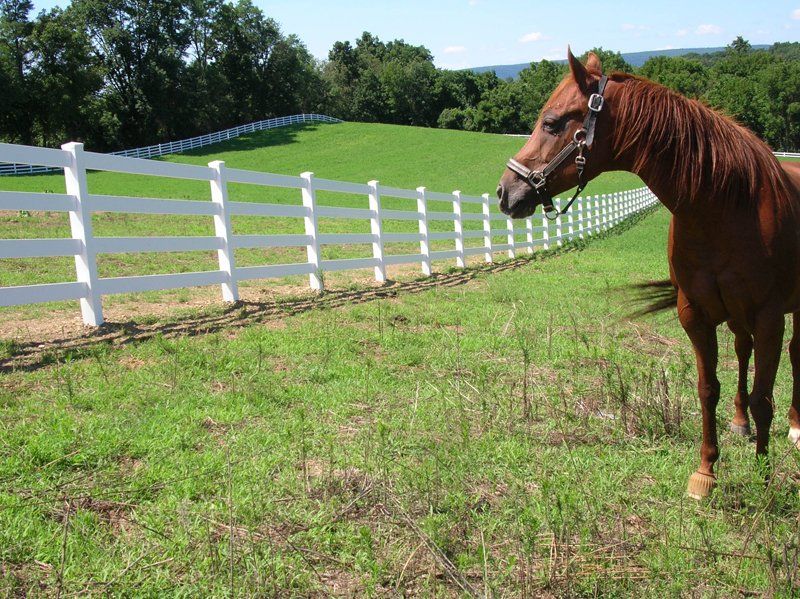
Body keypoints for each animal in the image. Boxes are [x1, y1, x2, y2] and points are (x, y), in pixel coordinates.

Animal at [496, 49, 800, 499]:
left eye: (551, 123)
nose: (505, 192)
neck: (725, 204)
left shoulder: (769, 318)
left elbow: (765, 398)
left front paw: (763, 479)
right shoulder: (696, 315)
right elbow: (708, 390)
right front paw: (705, 473)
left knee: (795, 355)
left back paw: (795, 427)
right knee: (742, 351)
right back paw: (740, 422)